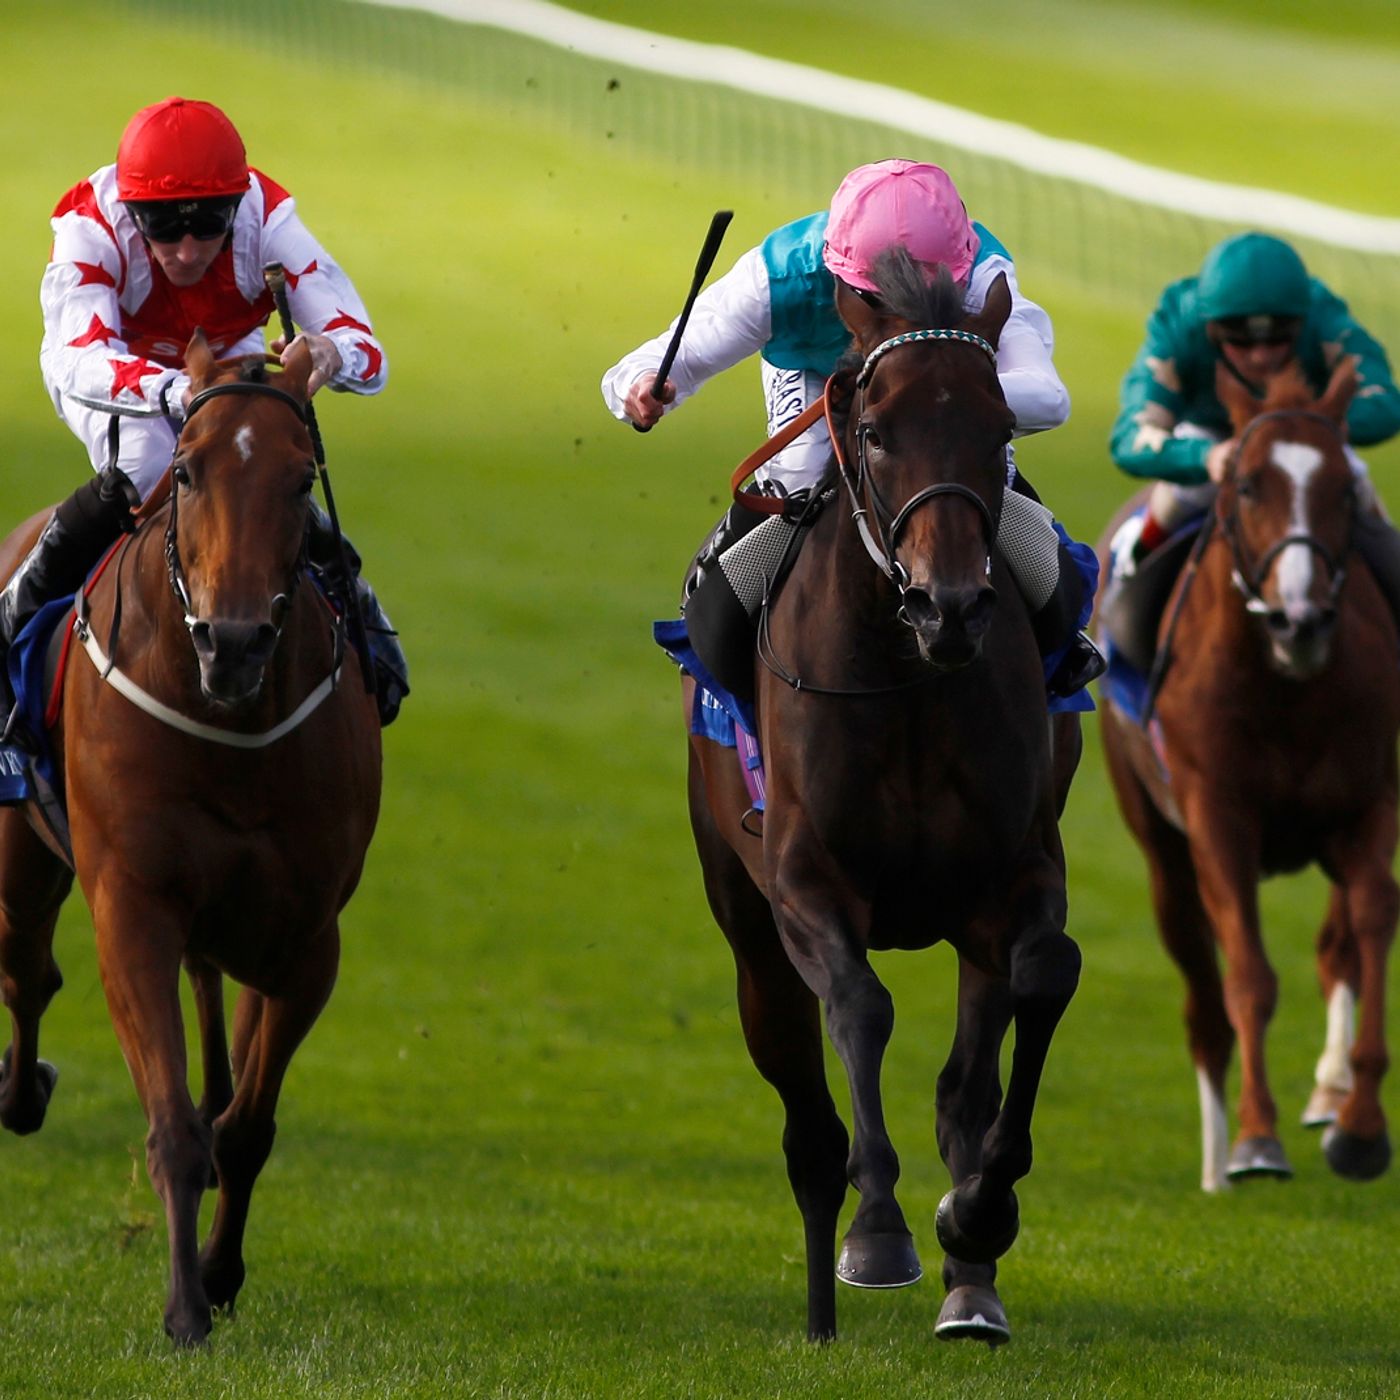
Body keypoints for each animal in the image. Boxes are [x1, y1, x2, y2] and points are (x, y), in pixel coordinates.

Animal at [0, 332, 382, 1343]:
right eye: (186, 469)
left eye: (300, 477)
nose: (234, 642)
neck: (228, 724)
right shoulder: (132, 909)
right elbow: (171, 1121)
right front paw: (183, 1310)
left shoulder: (306, 941)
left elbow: (247, 1126)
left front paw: (218, 1271)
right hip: (22, 860)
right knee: (26, 973)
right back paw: (21, 1092)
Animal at [684, 251, 1083, 1345]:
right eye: (872, 430)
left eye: (997, 427)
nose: (948, 605)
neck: (905, 679)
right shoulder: (802, 883)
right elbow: (860, 1008)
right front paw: (877, 1233)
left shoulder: (1013, 875)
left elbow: (1044, 977)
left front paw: (978, 1214)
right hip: (747, 939)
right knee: (808, 1125)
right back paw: (825, 1310)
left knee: (963, 1088)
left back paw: (972, 1289)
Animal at [1098, 358, 1399, 1192]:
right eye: (1248, 486)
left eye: (1343, 489)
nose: (1302, 619)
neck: (1283, 685)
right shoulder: (1218, 820)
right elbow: (1250, 979)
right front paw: (1256, 1137)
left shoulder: (1368, 804)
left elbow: (1370, 925)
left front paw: (1360, 1125)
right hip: (1161, 852)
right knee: (1203, 1001)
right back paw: (1213, 1161)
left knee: (1334, 946)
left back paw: (1328, 1094)